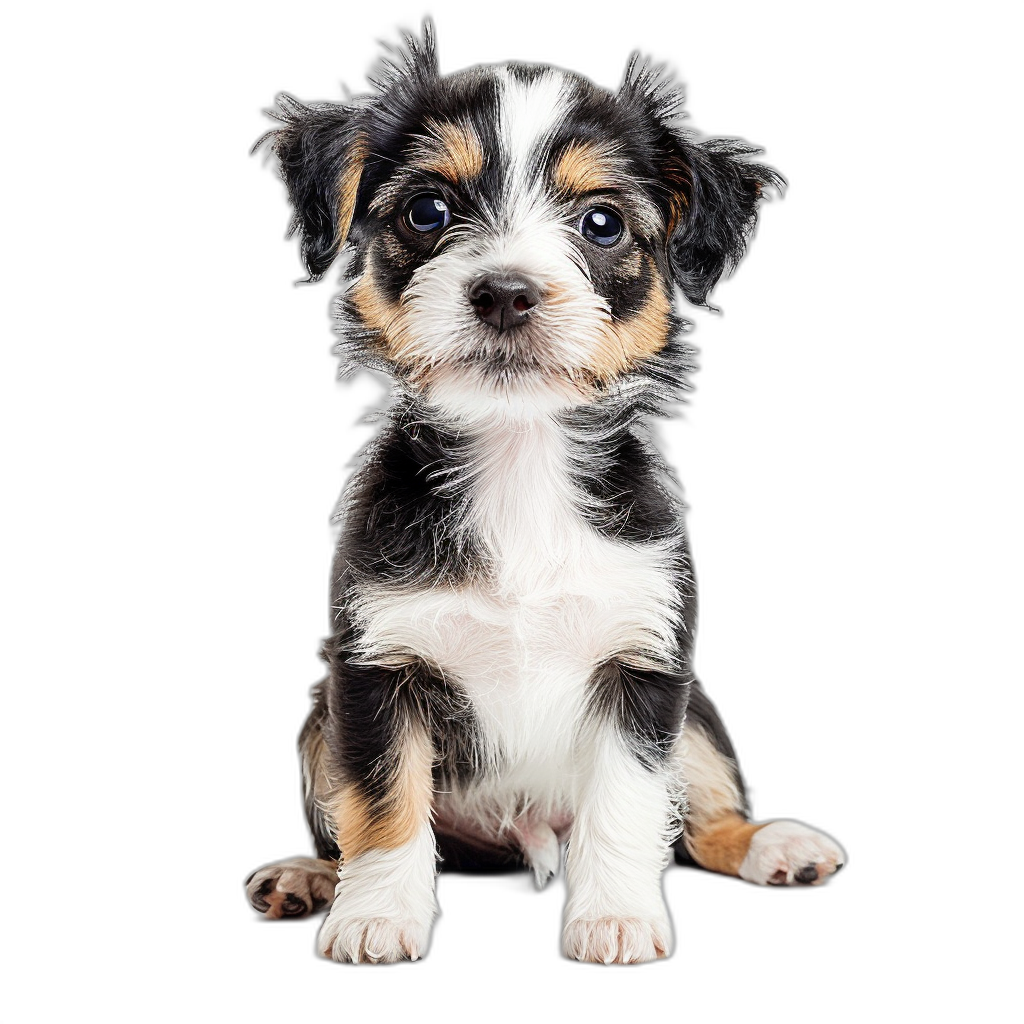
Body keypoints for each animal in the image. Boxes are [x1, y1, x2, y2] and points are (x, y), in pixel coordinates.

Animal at [243, 24, 843, 966]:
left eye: (601, 224)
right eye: (426, 213)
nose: (505, 291)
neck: (519, 456)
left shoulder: (645, 664)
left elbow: (629, 803)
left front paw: (617, 918)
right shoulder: (373, 669)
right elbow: (379, 802)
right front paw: (376, 915)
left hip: (698, 710)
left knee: (705, 814)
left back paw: (777, 846)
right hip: (317, 713)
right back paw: (307, 877)